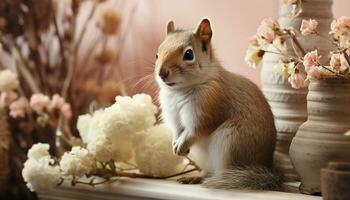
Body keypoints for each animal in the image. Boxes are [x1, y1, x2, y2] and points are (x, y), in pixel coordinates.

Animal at [155, 18, 282, 190]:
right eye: (157, 53)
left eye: (189, 54)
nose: (162, 73)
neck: (180, 91)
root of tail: (265, 166)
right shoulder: (173, 117)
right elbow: (177, 130)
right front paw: (175, 143)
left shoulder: (208, 110)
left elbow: (194, 131)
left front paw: (181, 144)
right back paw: (195, 177)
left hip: (231, 142)